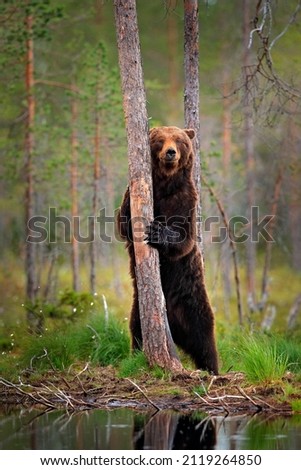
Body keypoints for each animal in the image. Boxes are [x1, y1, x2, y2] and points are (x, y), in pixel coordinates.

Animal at [116, 126, 217, 374]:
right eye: (160, 140)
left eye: (179, 140)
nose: (171, 152)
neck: (165, 184)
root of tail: (174, 329)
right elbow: (124, 223)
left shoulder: (185, 199)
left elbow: (183, 238)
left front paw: (157, 231)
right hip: (141, 311)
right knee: (137, 333)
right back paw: (138, 354)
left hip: (193, 304)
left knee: (205, 342)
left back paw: (212, 369)